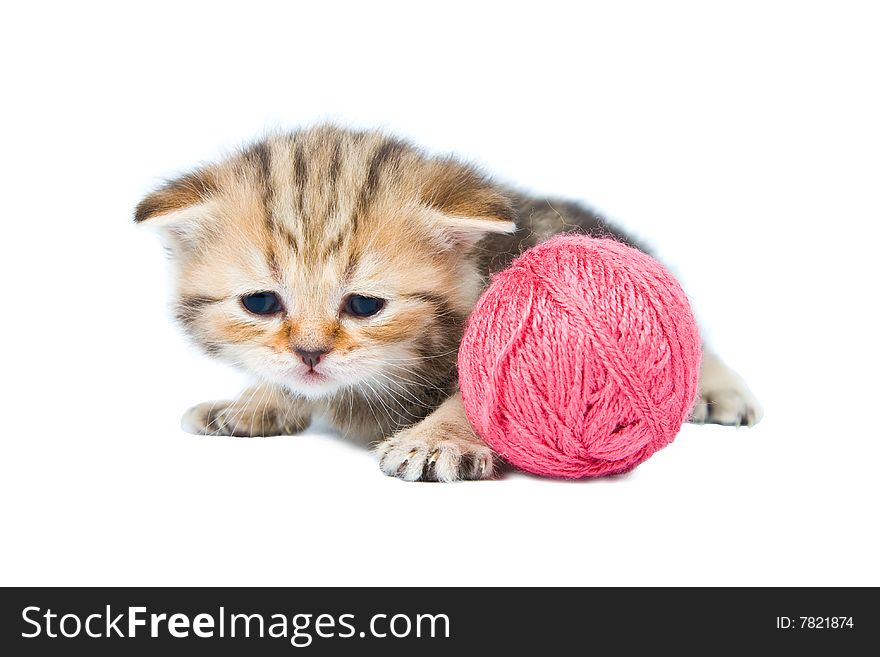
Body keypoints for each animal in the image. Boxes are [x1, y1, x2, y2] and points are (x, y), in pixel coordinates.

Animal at [134, 124, 760, 482]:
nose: (309, 354)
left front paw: (439, 438)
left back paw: (718, 391)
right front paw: (253, 401)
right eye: (262, 302)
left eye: (364, 306)